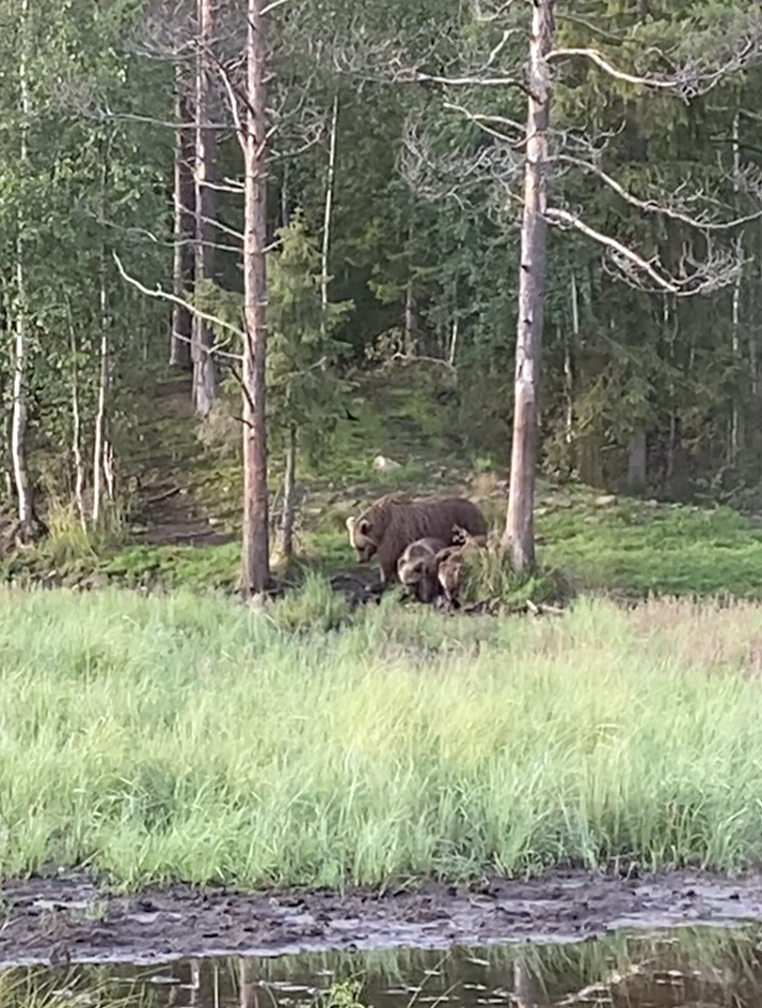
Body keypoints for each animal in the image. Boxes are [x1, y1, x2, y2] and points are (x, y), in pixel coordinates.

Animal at [346, 491, 487, 588]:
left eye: (360, 547)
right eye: (354, 546)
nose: (360, 560)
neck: (381, 525)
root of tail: (476, 507)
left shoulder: (393, 536)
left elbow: (387, 561)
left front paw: (383, 581)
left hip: (467, 524)